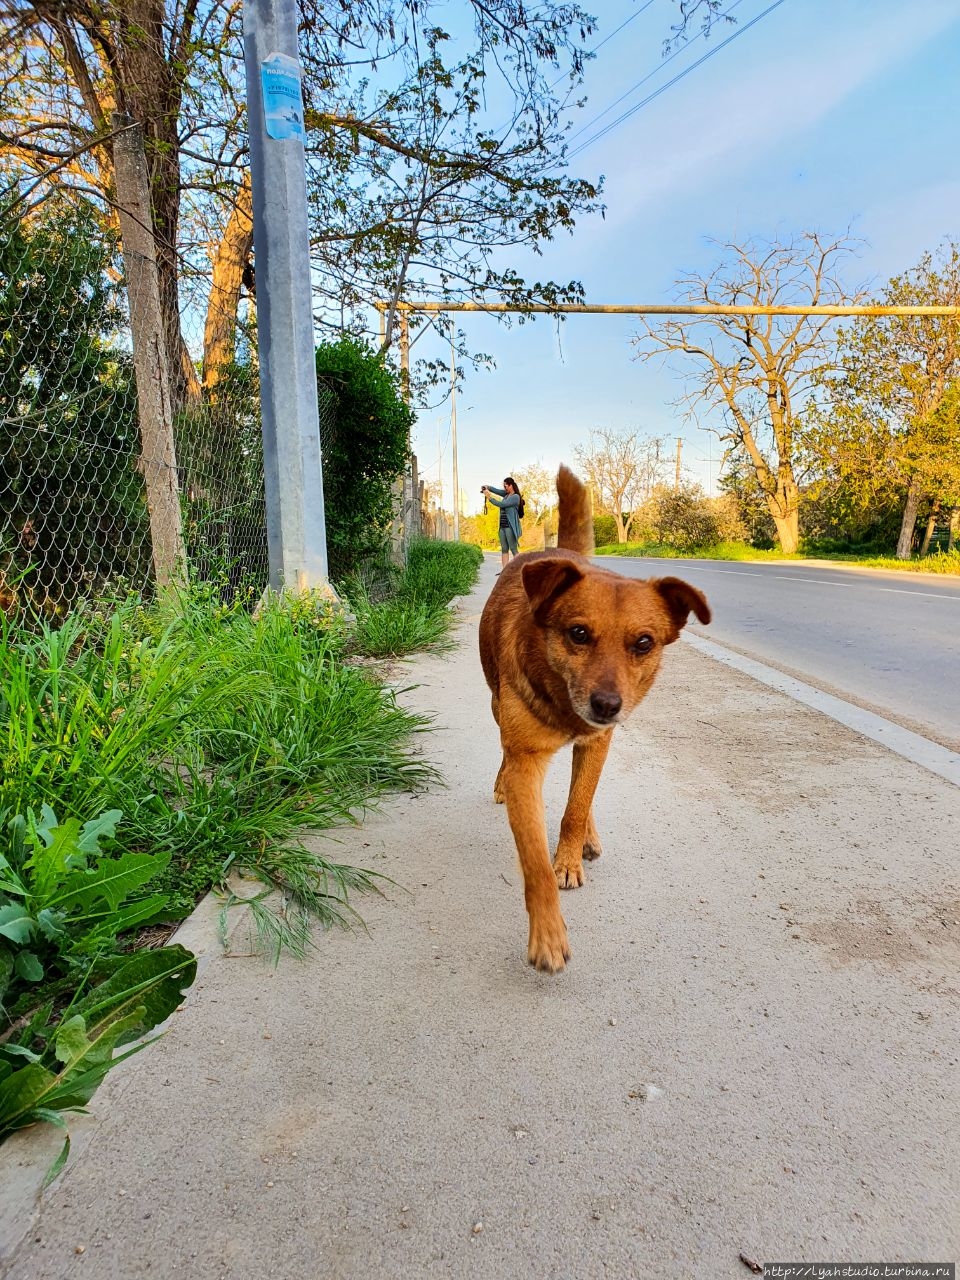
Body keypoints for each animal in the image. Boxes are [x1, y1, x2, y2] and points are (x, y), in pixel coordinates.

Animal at [481, 465, 716, 972]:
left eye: (644, 643)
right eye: (578, 633)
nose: (608, 706)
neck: (562, 703)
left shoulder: (597, 741)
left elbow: (574, 807)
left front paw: (569, 855)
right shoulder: (527, 761)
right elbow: (534, 859)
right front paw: (548, 933)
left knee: (581, 792)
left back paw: (587, 833)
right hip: (496, 705)